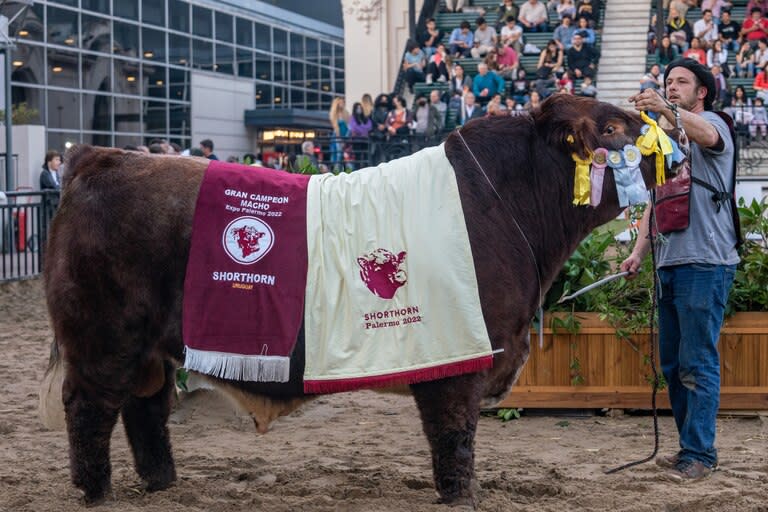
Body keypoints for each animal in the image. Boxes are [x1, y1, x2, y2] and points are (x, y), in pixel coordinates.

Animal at [40, 96, 664, 508]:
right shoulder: (457, 358)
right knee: (90, 407)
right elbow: (454, 437)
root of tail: (100, 157)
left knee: (145, 408)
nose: (670, 142)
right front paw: (463, 495)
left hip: (148, 348)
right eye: (613, 126)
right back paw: (96, 491)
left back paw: (162, 483)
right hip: (104, 338)